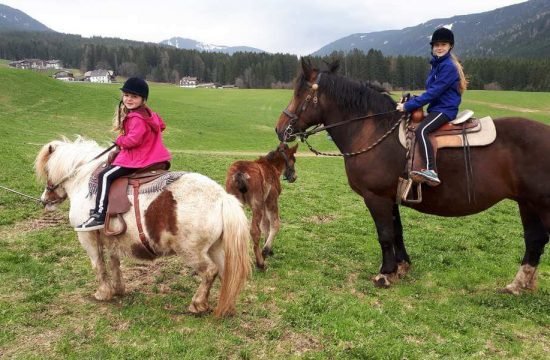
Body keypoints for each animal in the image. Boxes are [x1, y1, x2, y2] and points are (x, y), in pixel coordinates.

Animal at [33, 136, 251, 316]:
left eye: (47, 170)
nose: (45, 200)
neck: (84, 180)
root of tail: (222, 197)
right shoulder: (111, 238)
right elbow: (114, 262)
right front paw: (118, 289)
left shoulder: (87, 237)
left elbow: (98, 264)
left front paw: (103, 293)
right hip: (215, 248)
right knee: (226, 274)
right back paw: (226, 307)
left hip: (193, 252)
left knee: (210, 272)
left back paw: (197, 305)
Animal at [276, 59, 550, 294]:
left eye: (299, 93)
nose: (280, 129)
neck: (371, 130)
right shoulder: (391, 196)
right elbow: (397, 231)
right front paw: (402, 267)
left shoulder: (376, 197)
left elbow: (385, 234)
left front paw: (385, 273)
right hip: (527, 204)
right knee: (535, 240)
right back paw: (517, 285)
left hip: (541, 205)